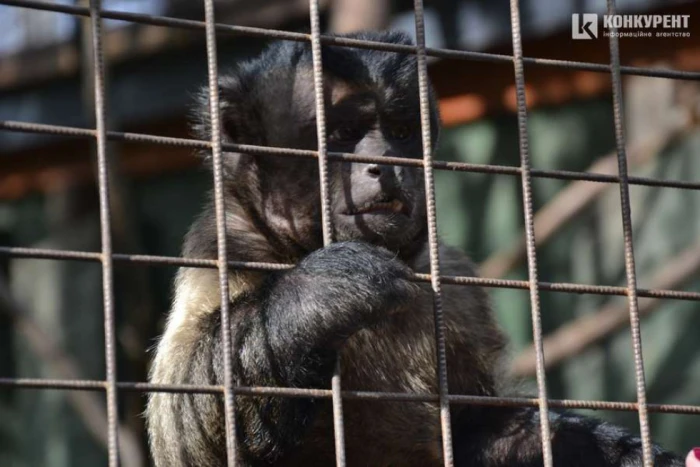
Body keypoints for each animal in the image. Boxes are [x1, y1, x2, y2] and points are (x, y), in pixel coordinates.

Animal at [145, 31, 688, 466]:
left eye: (401, 133)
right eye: (344, 134)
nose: (386, 162)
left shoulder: (453, 277)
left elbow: (473, 430)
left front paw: (600, 448)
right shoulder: (224, 242)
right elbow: (188, 432)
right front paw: (319, 292)